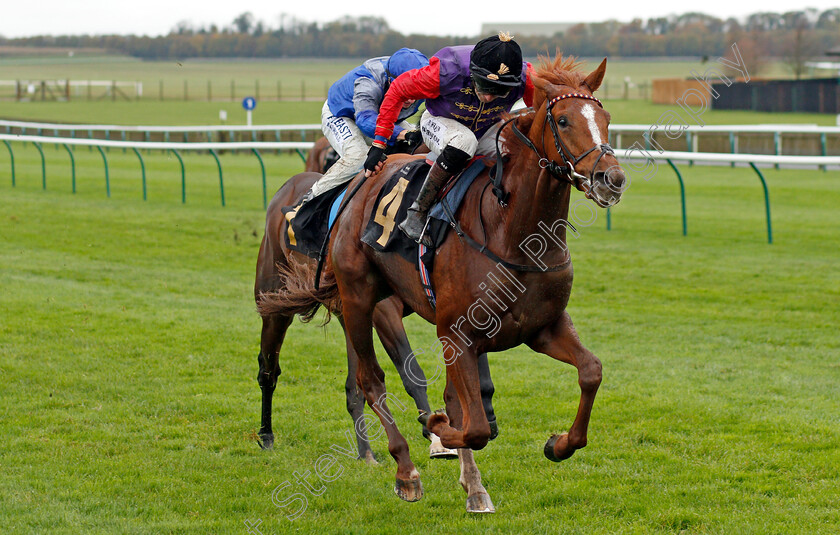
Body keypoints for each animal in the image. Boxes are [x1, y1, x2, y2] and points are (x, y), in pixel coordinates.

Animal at [260, 56, 628, 512]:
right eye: (562, 120)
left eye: (606, 119)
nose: (612, 179)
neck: (512, 231)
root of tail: (360, 184)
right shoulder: (455, 333)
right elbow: (470, 423)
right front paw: (437, 431)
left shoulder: (541, 326)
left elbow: (590, 371)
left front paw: (555, 445)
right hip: (351, 297)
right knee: (362, 380)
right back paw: (399, 468)